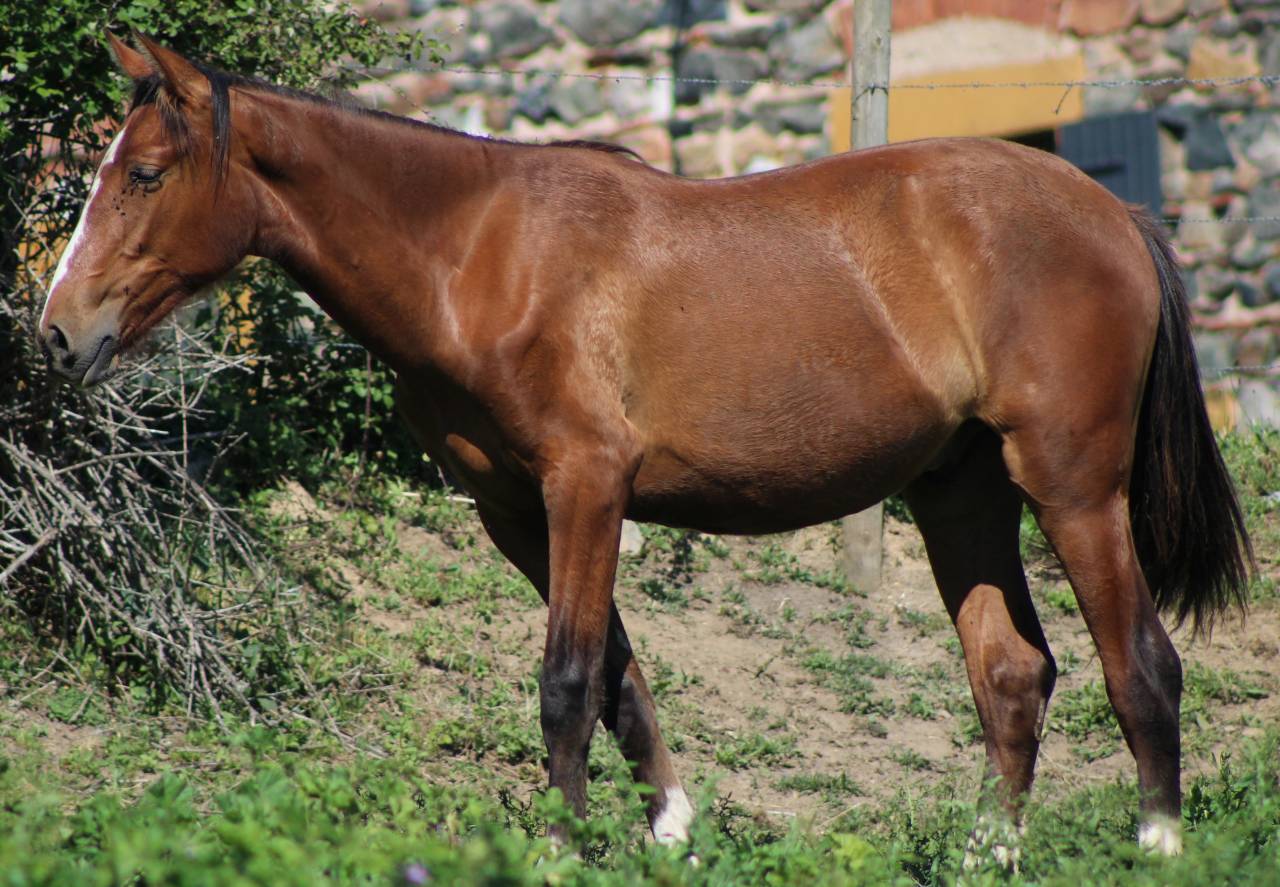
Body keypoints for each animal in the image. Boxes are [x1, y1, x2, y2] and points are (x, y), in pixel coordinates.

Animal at [38, 34, 1251, 855]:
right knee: (1011, 674)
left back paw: (1156, 845)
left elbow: (567, 678)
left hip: (1071, 484)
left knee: (1140, 665)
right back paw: (985, 852)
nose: (58, 331)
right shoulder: (517, 510)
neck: (478, 254)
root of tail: (1112, 214)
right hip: (960, 494)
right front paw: (669, 828)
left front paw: (561, 850)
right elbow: (617, 676)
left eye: (143, 174)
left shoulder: (587, 483)